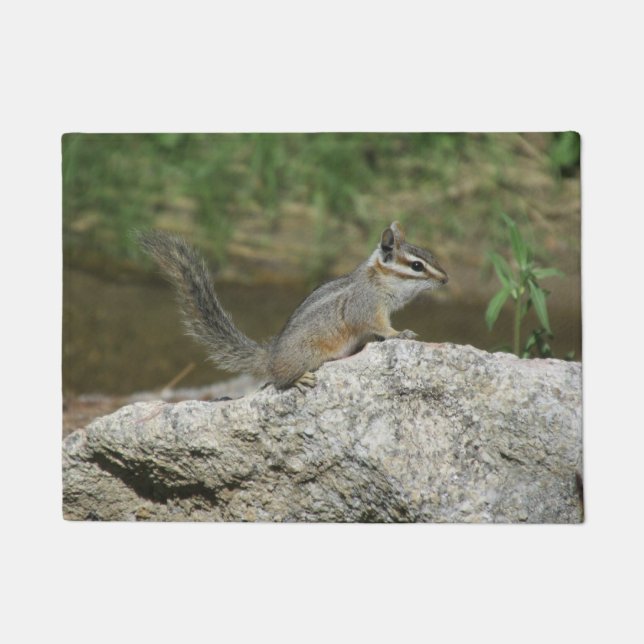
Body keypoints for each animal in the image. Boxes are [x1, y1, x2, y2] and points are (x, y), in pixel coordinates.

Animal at [138, 221, 448, 391]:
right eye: (417, 266)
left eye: (430, 254)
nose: (446, 279)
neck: (378, 280)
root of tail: (271, 356)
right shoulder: (367, 307)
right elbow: (379, 326)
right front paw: (400, 334)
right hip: (307, 356)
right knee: (278, 381)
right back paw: (297, 380)